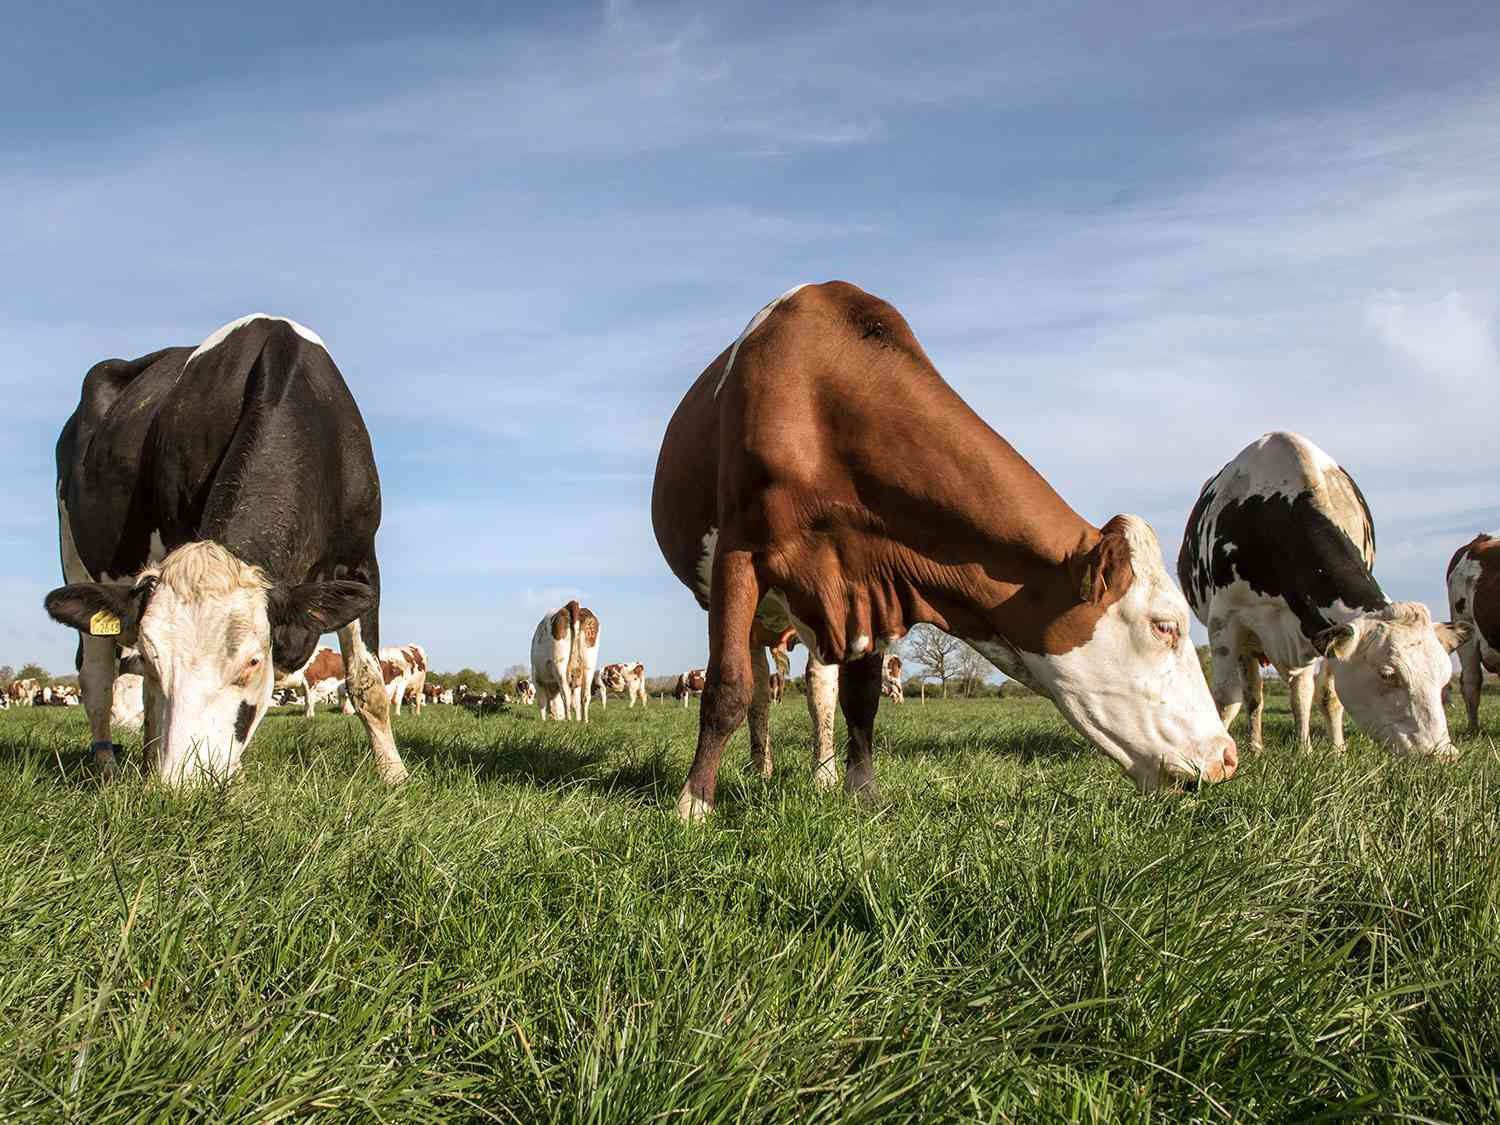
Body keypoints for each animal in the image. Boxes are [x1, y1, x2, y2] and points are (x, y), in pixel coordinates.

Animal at [43, 314, 409, 785]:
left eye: (253, 661)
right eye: (156, 658)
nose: (187, 783)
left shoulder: (363, 561)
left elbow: (367, 685)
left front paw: (394, 775)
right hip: (75, 558)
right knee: (97, 680)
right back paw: (108, 768)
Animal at [652, 281, 1236, 819]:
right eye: (1166, 626)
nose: (1228, 757)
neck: (823, 403)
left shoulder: (872, 584)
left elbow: (860, 700)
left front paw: (860, 794)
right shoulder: (739, 555)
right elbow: (727, 688)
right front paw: (693, 806)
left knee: (818, 688)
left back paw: (818, 776)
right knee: (755, 689)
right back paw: (760, 768)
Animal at [1179, 431, 1467, 758]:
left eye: (1444, 678)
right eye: (1387, 674)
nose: (1443, 754)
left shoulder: (1321, 630)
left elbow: (1329, 696)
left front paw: (1336, 751)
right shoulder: (1225, 621)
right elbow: (1227, 700)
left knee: (1299, 692)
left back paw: (1303, 746)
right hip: (1249, 643)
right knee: (1255, 695)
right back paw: (1255, 746)